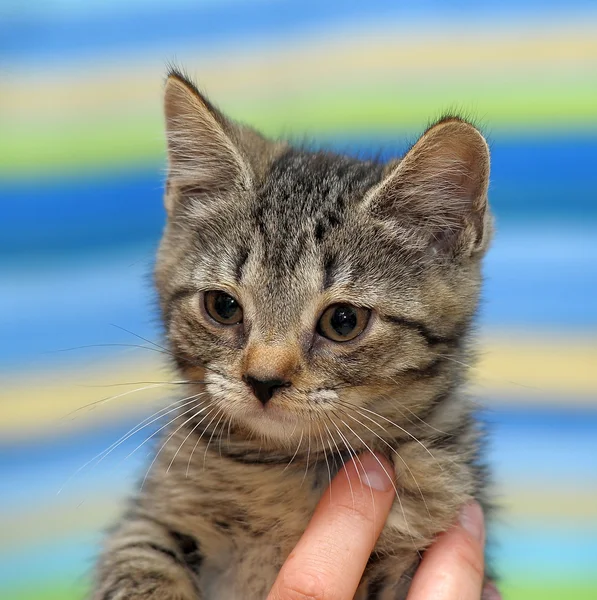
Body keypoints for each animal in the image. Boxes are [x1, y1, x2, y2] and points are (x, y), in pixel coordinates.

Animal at [91, 68, 492, 596]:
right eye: (223, 307)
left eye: (343, 321)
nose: (263, 380)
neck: (284, 466)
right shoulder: (152, 517)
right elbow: (140, 563)